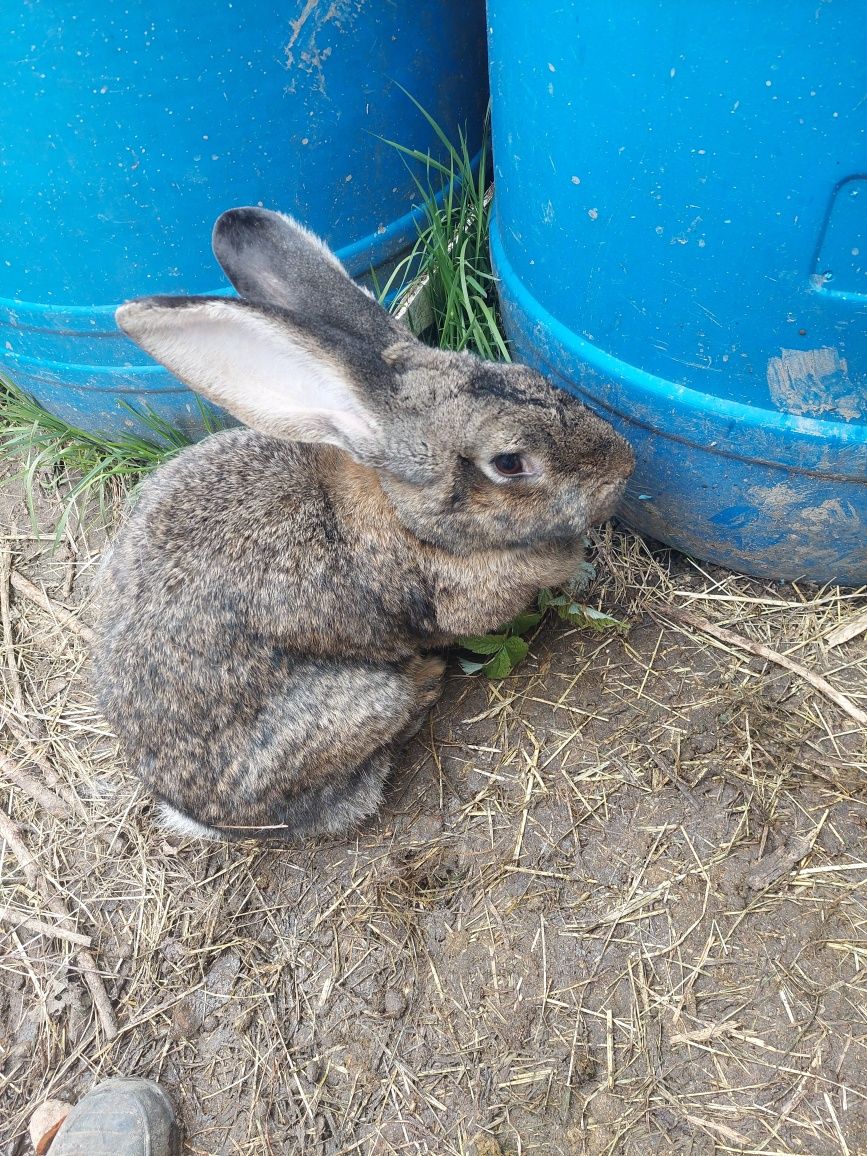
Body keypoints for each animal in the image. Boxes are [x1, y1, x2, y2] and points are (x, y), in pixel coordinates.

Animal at [91, 208, 633, 841]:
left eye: (528, 374)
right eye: (508, 462)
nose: (625, 464)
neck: (400, 513)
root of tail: (194, 814)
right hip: (356, 705)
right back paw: (424, 682)